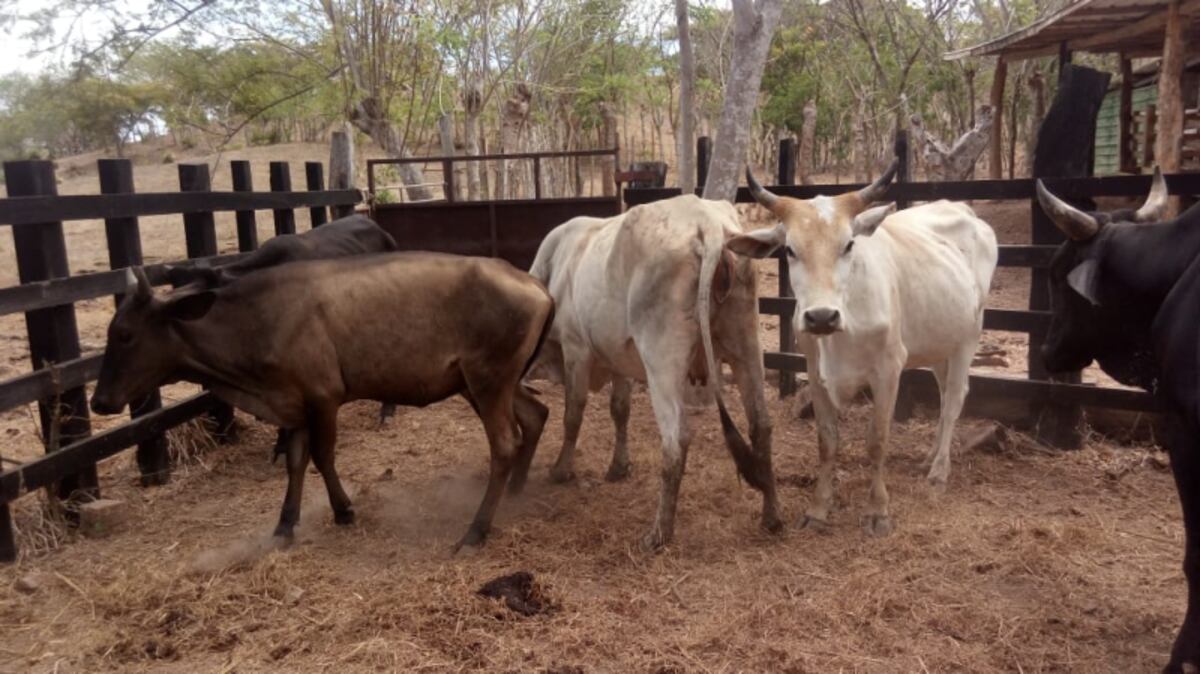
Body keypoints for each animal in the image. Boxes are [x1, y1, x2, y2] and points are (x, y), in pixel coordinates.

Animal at [91, 251, 554, 546]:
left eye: (125, 334)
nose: (99, 401)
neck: (258, 320)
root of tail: (537, 286)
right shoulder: (293, 404)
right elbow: (296, 461)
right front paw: (284, 525)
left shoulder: (323, 397)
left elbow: (322, 456)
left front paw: (343, 510)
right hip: (483, 384)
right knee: (535, 414)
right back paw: (517, 489)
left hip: (488, 380)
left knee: (505, 443)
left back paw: (476, 530)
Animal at [724, 164, 998, 534]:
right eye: (790, 249)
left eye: (849, 244)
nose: (821, 316)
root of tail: (966, 212)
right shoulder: (815, 374)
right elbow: (827, 442)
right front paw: (818, 509)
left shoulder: (888, 371)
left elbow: (877, 440)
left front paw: (878, 511)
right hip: (941, 340)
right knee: (943, 396)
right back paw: (929, 457)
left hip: (969, 335)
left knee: (955, 398)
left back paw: (939, 472)